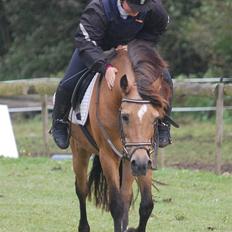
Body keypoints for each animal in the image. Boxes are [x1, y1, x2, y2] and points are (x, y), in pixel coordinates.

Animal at [70, 40, 171, 232]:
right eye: (125, 116)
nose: (140, 163)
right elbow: (116, 205)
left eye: (156, 119)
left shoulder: (141, 155)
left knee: (127, 196)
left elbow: (145, 205)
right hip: (80, 150)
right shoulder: (108, 156)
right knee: (82, 189)